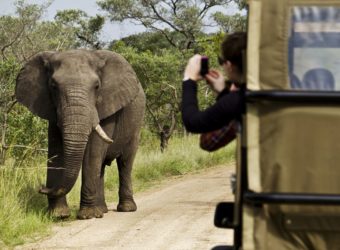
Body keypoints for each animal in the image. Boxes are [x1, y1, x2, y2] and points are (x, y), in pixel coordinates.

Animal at [15, 49, 145, 219]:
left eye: (97, 86)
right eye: (53, 86)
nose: (42, 188)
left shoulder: (107, 105)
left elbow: (92, 152)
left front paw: (86, 215)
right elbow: (56, 151)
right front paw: (58, 215)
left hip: (136, 124)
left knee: (125, 162)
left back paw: (126, 209)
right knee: (101, 167)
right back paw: (101, 210)